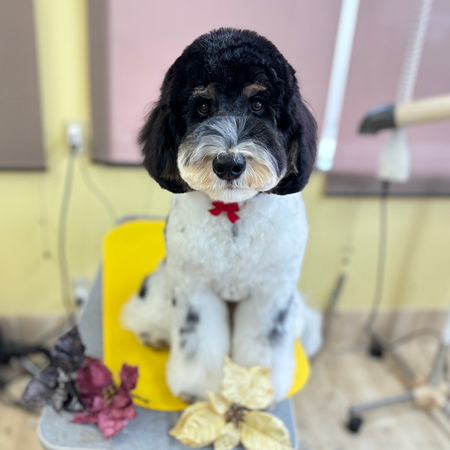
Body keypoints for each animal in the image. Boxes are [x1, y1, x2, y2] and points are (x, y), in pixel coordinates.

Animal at [121, 28, 322, 404]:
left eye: (258, 104)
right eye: (202, 106)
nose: (229, 163)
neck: (234, 214)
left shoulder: (271, 294)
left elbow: (263, 345)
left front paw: (254, 387)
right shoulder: (195, 290)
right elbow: (197, 342)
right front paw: (196, 388)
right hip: (167, 279)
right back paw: (152, 333)